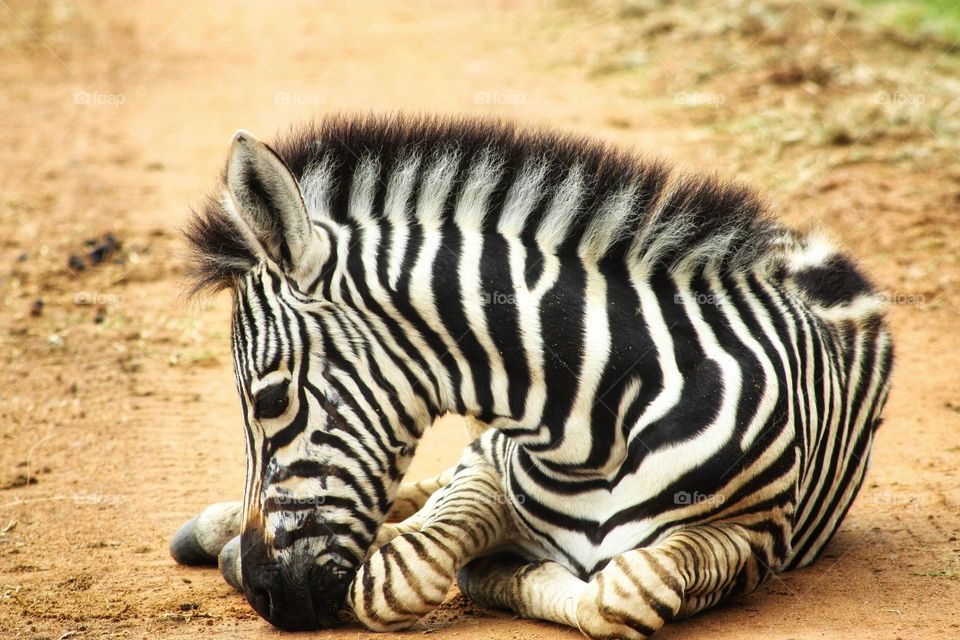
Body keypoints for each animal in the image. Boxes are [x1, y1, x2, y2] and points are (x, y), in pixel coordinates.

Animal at [171, 114, 892, 636]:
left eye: (270, 399)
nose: (267, 598)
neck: (600, 419)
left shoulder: (752, 533)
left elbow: (623, 595)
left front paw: (501, 573)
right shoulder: (489, 466)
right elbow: (404, 569)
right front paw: (481, 565)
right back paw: (219, 533)